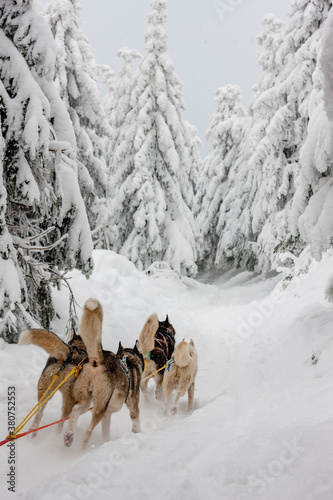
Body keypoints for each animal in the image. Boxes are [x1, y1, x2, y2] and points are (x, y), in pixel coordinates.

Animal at [63, 296, 144, 450]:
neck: (128, 357)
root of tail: (97, 359)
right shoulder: (133, 406)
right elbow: (136, 421)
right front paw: (137, 433)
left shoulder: (107, 415)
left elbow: (105, 433)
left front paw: (105, 441)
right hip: (100, 406)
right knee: (88, 431)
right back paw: (82, 449)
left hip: (86, 401)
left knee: (74, 411)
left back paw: (69, 435)